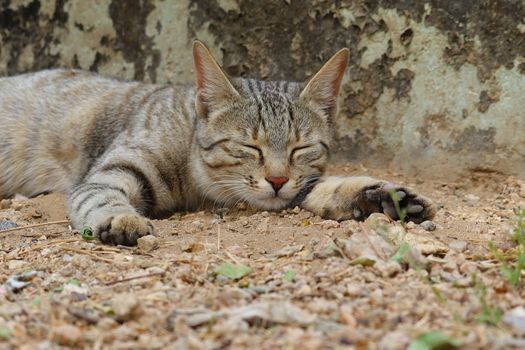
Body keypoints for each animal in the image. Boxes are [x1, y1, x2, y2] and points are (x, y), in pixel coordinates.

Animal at [0, 40, 434, 246]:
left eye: (300, 149)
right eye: (250, 147)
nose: (277, 180)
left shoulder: (297, 185)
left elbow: (324, 187)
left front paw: (383, 197)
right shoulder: (107, 172)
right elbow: (101, 196)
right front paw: (120, 219)